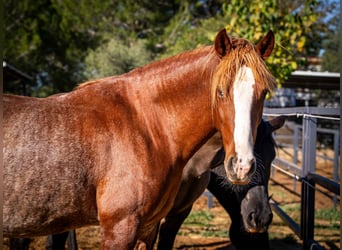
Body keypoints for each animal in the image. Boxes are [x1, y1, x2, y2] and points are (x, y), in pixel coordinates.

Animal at [3, 28, 276, 248]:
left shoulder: (149, 226)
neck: (146, 126)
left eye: (264, 93)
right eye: (220, 92)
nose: (242, 166)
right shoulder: (120, 227)